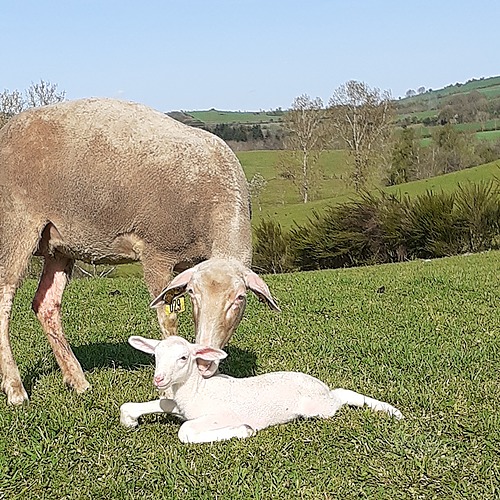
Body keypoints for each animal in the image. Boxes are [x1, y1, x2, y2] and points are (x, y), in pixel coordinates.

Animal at [120, 336, 402, 442]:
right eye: (155, 356)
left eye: (183, 358)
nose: (159, 379)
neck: (197, 391)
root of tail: (321, 387)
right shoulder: (177, 404)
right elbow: (143, 405)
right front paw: (130, 420)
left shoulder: (221, 414)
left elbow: (186, 431)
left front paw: (243, 430)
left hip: (318, 408)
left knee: (341, 397)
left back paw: (391, 411)